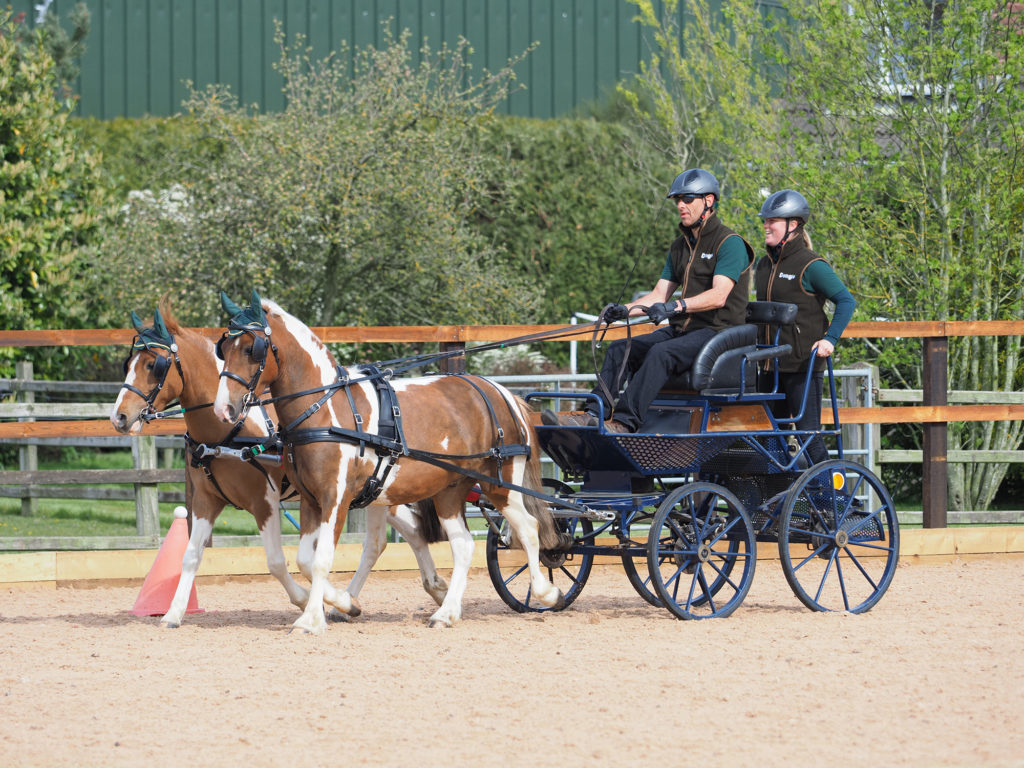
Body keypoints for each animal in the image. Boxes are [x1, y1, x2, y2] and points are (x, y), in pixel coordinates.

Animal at [110, 303, 450, 626]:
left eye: (154, 365)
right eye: (129, 364)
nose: (119, 417)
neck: (228, 431)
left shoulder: (265, 502)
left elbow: (275, 561)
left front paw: (307, 601)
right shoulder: (207, 499)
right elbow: (190, 556)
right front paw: (173, 614)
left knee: (384, 540)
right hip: (375, 493)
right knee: (401, 535)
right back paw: (422, 590)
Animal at [214, 290, 569, 634]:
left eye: (252, 349)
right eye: (223, 348)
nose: (223, 409)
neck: (325, 409)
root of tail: (502, 393)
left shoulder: (336, 498)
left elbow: (321, 559)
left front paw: (312, 620)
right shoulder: (311, 499)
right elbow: (304, 559)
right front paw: (345, 602)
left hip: (500, 484)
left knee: (529, 528)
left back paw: (546, 593)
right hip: (450, 490)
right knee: (464, 544)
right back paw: (446, 612)